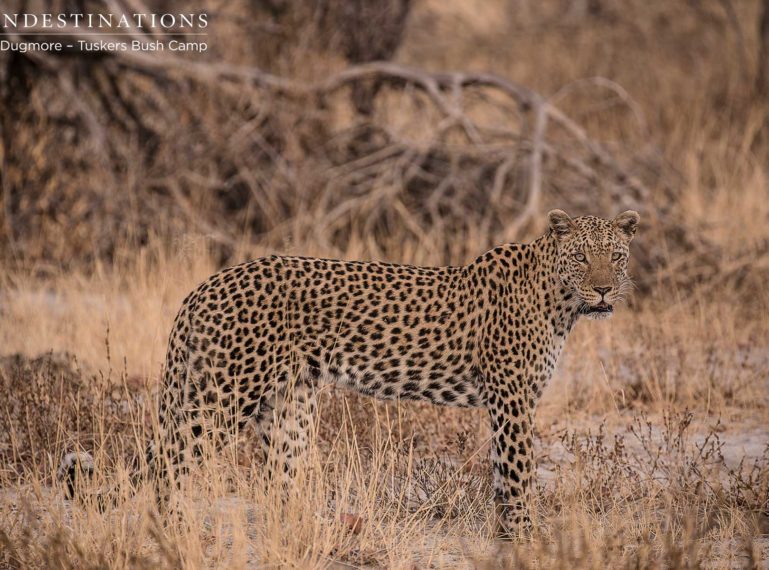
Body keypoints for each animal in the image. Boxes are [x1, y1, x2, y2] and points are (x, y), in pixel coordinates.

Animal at [58, 206, 636, 536]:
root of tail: (204, 286)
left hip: (286, 405)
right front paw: (527, 539)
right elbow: (517, 476)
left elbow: (502, 476)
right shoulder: (512, 400)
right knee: (170, 466)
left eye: (616, 256)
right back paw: (174, 533)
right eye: (582, 258)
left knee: (279, 480)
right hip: (223, 395)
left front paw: (512, 536)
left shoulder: (510, 403)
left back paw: (309, 533)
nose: (604, 290)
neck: (560, 301)